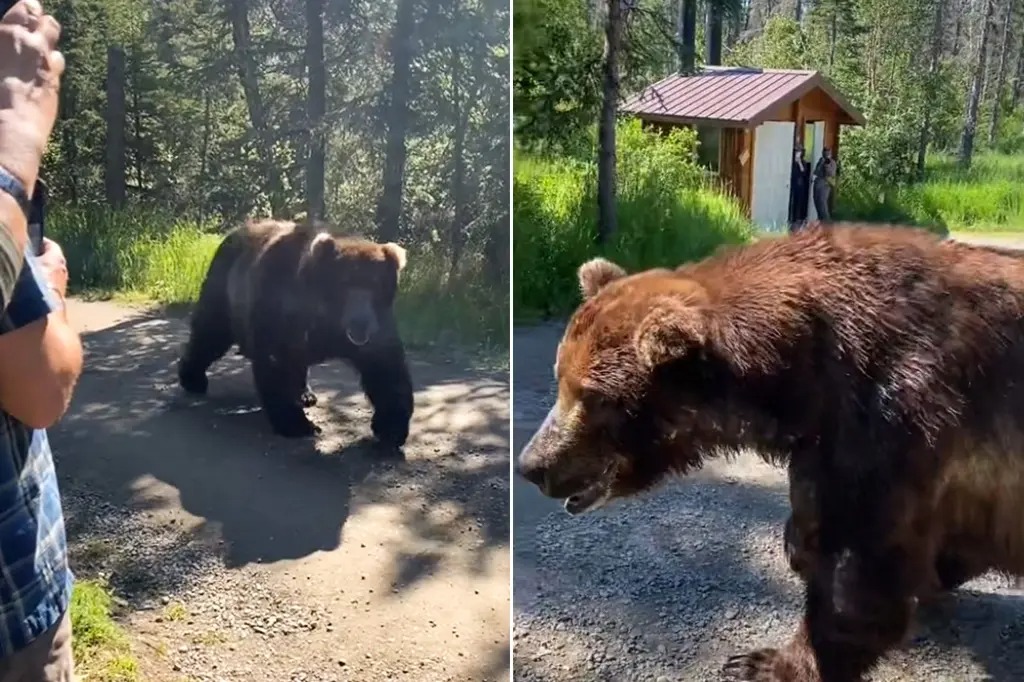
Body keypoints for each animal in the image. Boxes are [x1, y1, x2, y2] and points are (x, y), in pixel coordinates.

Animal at [178, 218, 413, 440]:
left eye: (375, 285)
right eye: (345, 283)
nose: (361, 321)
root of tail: (234, 232)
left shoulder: (376, 327)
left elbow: (385, 367)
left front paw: (391, 428)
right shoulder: (279, 304)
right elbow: (276, 361)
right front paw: (298, 424)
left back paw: (305, 394)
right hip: (224, 286)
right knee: (210, 332)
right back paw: (193, 378)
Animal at [520, 224, 1024, 679]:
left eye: (594, 397)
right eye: (560, 379)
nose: (533, 464)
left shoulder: (897, 417)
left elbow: (858, 571)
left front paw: (767, 661)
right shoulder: (826, 441)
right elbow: (819, 523)